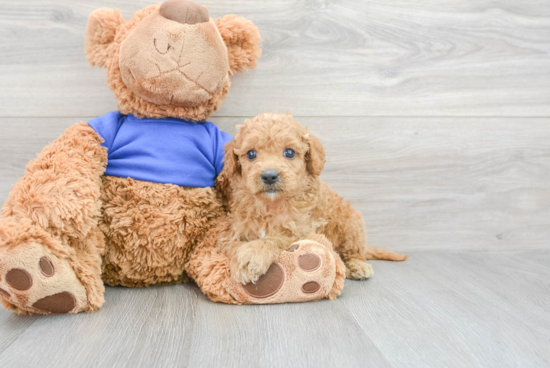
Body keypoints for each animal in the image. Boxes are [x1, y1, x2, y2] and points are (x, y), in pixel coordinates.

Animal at [218, 112, 408, 284]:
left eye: (289, 152)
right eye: (251, 154)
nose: (269, 176)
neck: (271, 204)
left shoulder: (302, 228)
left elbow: (276, 237)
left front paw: (253, 255)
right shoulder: (237, 230)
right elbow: (232, 245)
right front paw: (239, 262)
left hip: (351, 224)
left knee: (354, 251)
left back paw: (357, 266)